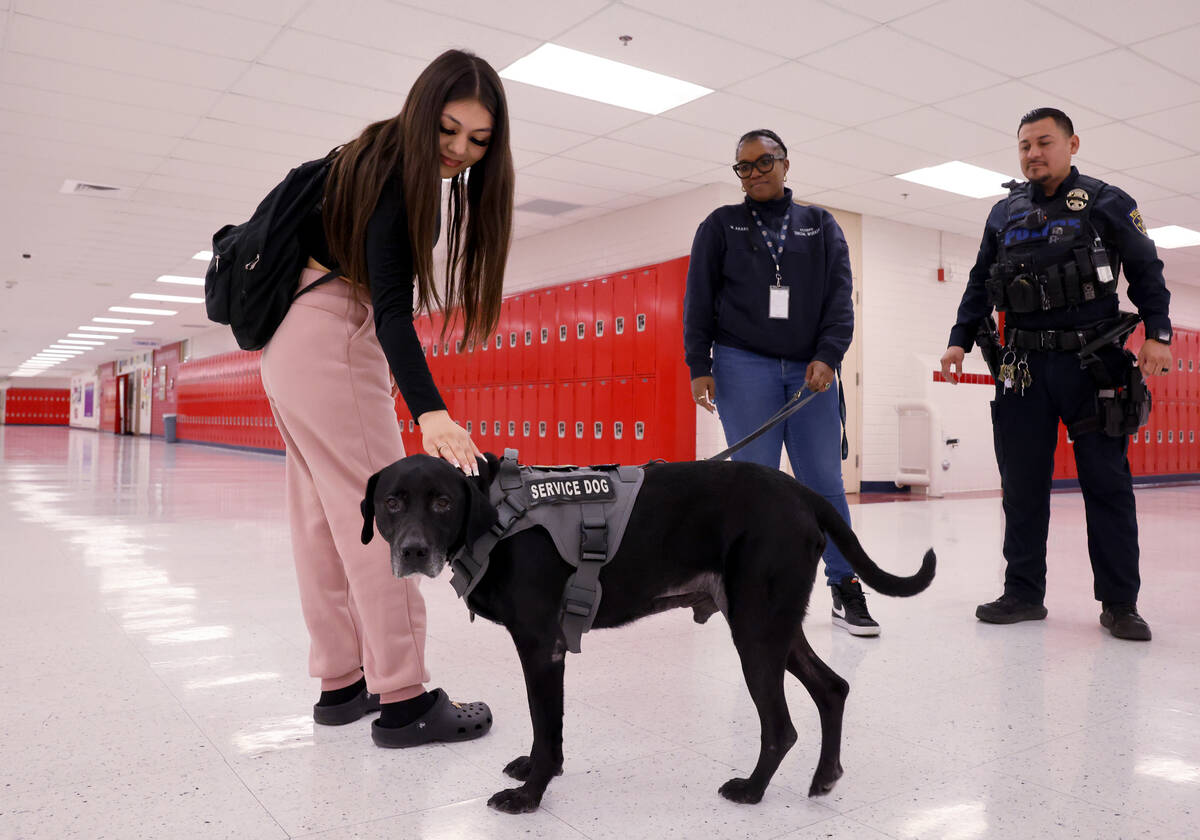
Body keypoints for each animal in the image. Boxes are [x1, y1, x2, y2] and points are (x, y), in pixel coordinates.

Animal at [357, 453, 936, 816]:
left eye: (441, 502)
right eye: (392, 503)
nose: (412, 551)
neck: (498, 516)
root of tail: (801, 490)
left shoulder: (542, 648)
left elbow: (546, 726)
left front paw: (530, 795)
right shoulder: (550, 651)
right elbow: (548, 728)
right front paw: (541, 772)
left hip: (756, 633)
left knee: (781, 726)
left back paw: (752, 790)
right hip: (774, 626)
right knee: (832, 688)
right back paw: (825, 774)